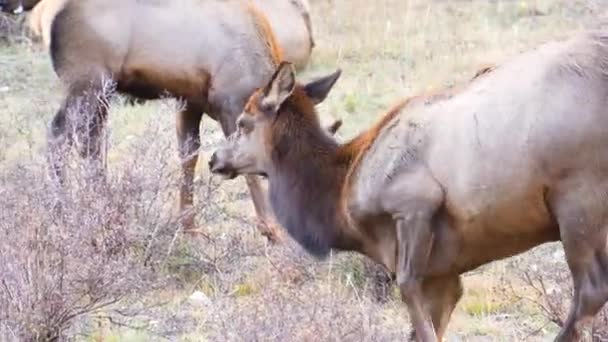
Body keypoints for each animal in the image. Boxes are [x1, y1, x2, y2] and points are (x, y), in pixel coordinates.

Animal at [43, 0, 316, 242]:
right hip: (88, 84)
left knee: (90, 142)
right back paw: (63, 215)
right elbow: (245, 167)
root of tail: (54, 24)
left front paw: (189, 227)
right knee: (60, 136)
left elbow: (189, 155)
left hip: (102, 93)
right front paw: (272, 229)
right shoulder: (228, 104)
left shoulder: (190, 101)